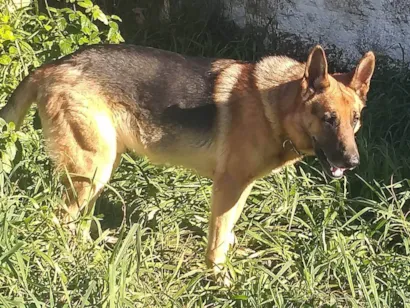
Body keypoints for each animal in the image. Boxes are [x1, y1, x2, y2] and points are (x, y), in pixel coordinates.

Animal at [0, 44, 374, 278]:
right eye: (328, 119)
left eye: (355, 119)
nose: (354, 163)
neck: (277, 105)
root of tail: (53, 65)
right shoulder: (228, 187)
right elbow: (217, 239)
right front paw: (220, 279)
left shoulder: (238, 189)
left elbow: (228, 230)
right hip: (94, 168)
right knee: (60, 219)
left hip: (101, 167)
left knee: (75, 220)